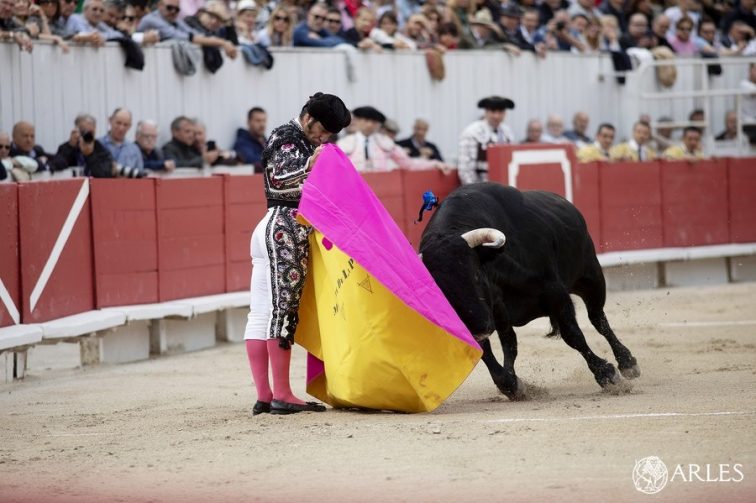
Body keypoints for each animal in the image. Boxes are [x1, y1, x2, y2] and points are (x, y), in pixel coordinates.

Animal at [419, 182, 640, 400]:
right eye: (442, 293)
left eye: (476, 274)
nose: (480, 328)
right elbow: (489, 351)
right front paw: (511, 385)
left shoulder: (556, 294)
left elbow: (573, 335)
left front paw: (607, 375)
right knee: (509, 342)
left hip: (591, 276)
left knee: (598, 318)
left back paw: (627, 363)